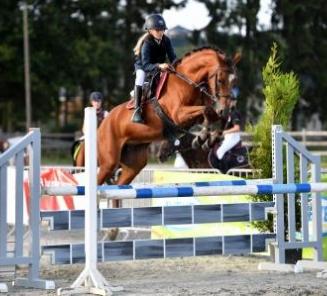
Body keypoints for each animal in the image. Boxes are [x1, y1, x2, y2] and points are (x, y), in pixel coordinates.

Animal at [97, 46, 241, 208]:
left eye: (235, 81)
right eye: (220, 80)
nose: (226, 108)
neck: (186, 83)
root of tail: (105, 121)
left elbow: (214, 115)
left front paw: (209, 137)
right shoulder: (178, 115)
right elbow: (207, 110)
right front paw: (203, 138)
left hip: (134, 163)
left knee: (118, 188)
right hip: (109, 161)